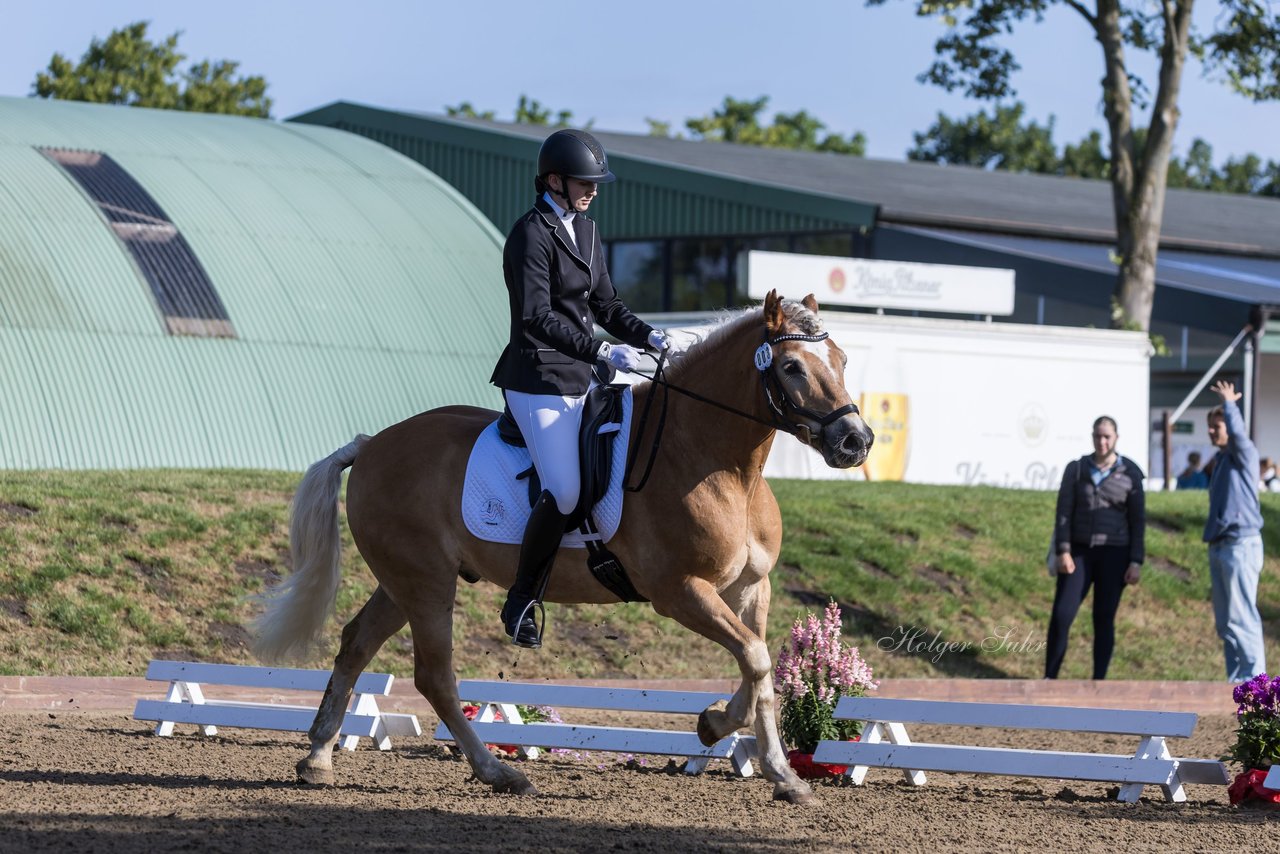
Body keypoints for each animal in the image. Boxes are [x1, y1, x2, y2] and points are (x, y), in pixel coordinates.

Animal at [249, 290, 870, 804]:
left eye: (841, 360)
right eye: (791, 367)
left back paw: (318, 758)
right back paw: (498, 773)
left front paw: (747, 749)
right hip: (424, 582)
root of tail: (372, 443)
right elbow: (757, 660)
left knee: (356, 644)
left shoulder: (749, 588)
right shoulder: (680, 592)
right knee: (434, 676)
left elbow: (757, 670)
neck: (719, 463)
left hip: (403, 582)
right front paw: (757, 756)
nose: (854, 441)